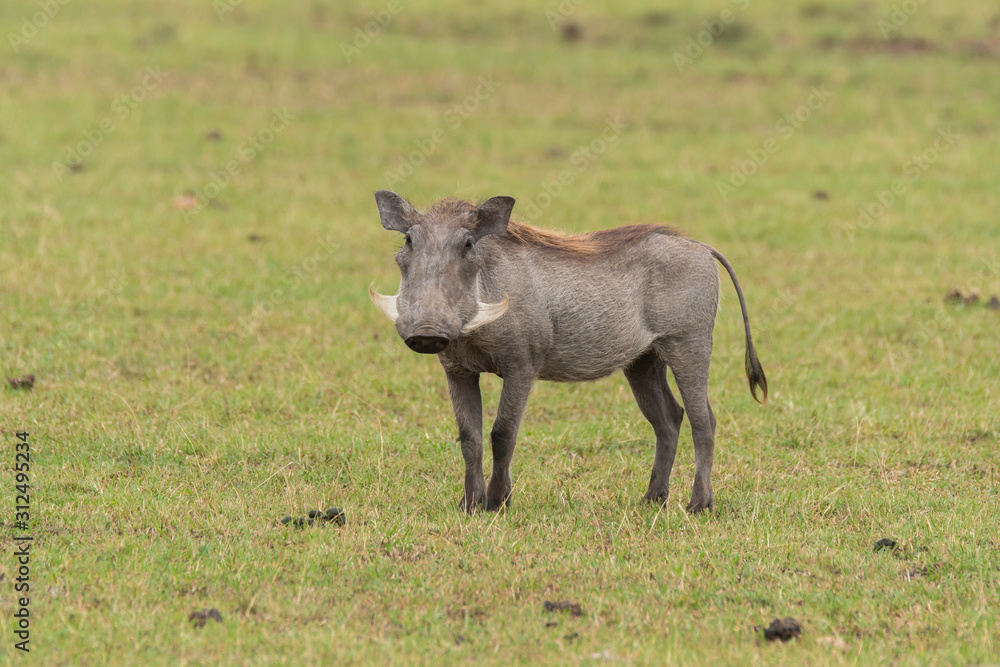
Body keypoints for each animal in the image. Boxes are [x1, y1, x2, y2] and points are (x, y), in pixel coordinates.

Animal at [369, 191, 767, 513]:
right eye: (408, 240)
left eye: (468, 244)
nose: (426, 333)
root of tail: (701, 246)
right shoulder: (458, 371)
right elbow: (470, 438)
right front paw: (469, 505)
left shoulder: (522, 365)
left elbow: (502, 434)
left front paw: (497, 504)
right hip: (643, 361)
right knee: (668, 419)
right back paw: (652, 500)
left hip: (689, 343)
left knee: (703, 421)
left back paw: (699, 505)